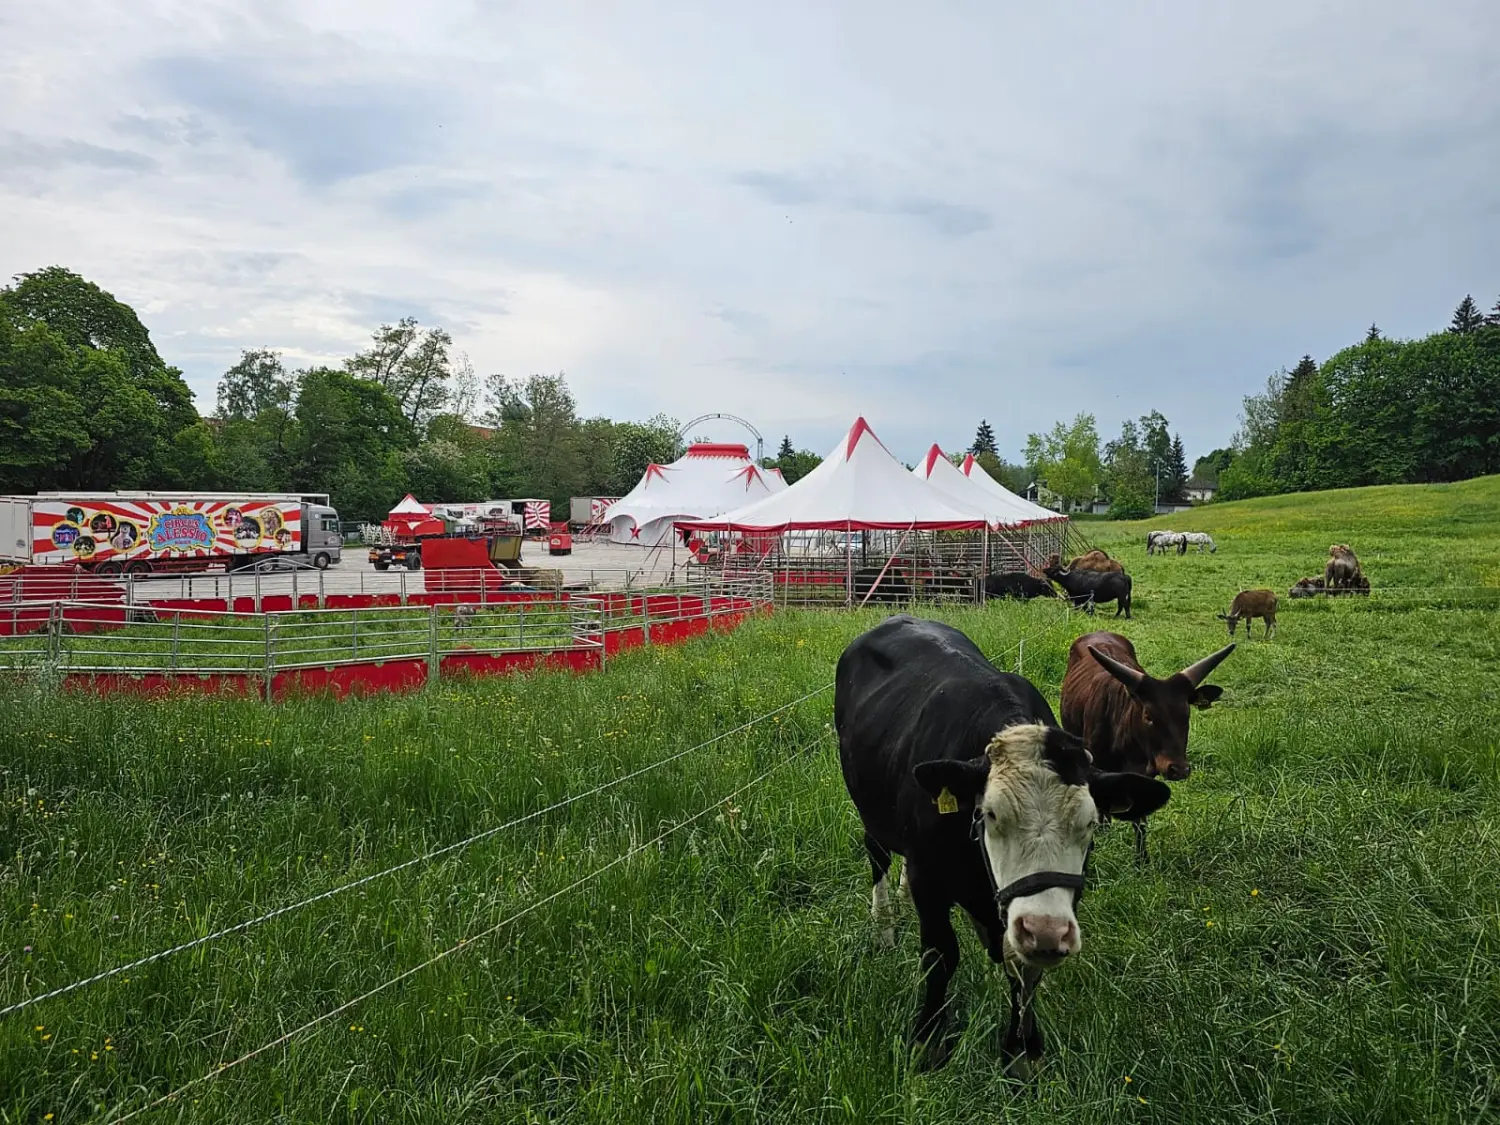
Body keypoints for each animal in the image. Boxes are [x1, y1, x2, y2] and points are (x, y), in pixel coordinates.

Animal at [834, 618, 1170, 1074]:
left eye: (1090, 824)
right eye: (990, 814)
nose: (1045, 931)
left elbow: (1022, 969)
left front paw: (1023, 1048)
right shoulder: (929, 879)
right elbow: (940, 956)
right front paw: (928, 1040)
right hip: (868, 806)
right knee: (878, 854)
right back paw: (884, 926)